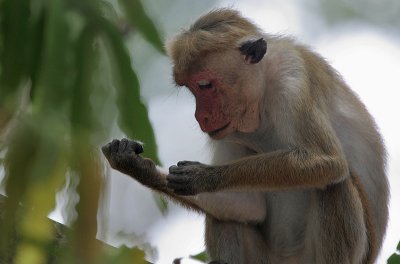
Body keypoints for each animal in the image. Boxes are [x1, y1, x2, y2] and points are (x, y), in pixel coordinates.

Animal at [101, 8, 390, 264]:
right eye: (190, 87)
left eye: (205, 85)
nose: (201, 117)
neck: (263, 95)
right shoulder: (229, 131)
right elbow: (249, 205)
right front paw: (138, 166)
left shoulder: (291, 82)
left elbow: (328, 162)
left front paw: (206, 177)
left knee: (335, 185)